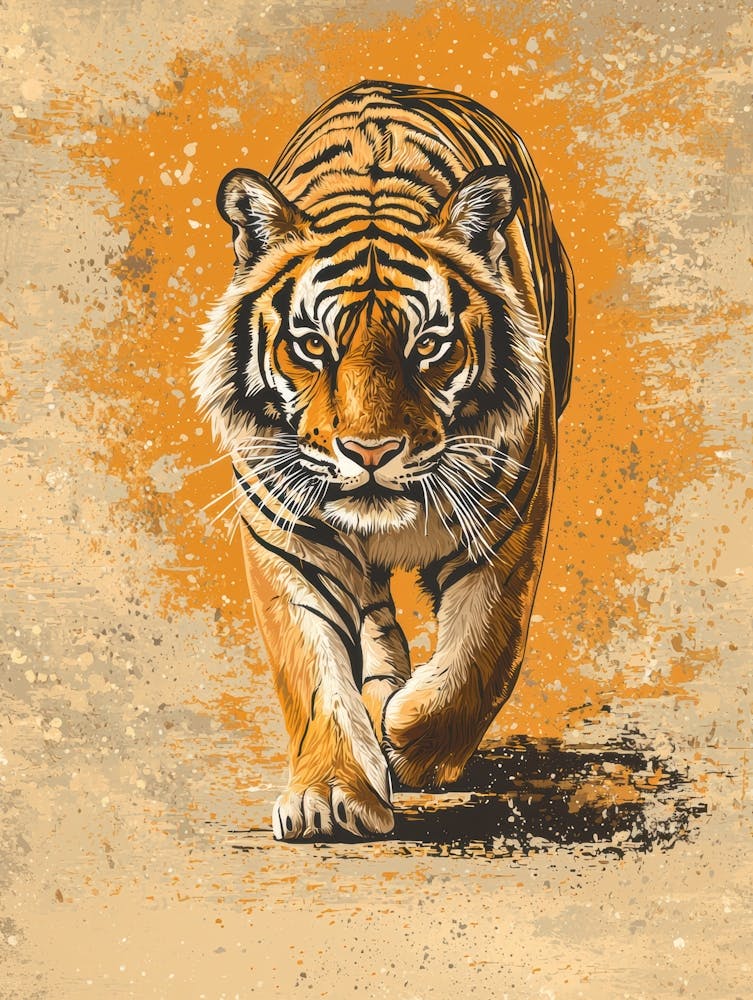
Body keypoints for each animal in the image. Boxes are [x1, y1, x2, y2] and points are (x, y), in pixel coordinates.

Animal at [193, 80, 575, 840]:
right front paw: (333, 796)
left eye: (427, 345)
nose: (369, 452)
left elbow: (478, 659)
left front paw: (410, 746)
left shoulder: (511, 519)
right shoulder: (286, 537)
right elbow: (310, 669)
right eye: (312, 344)